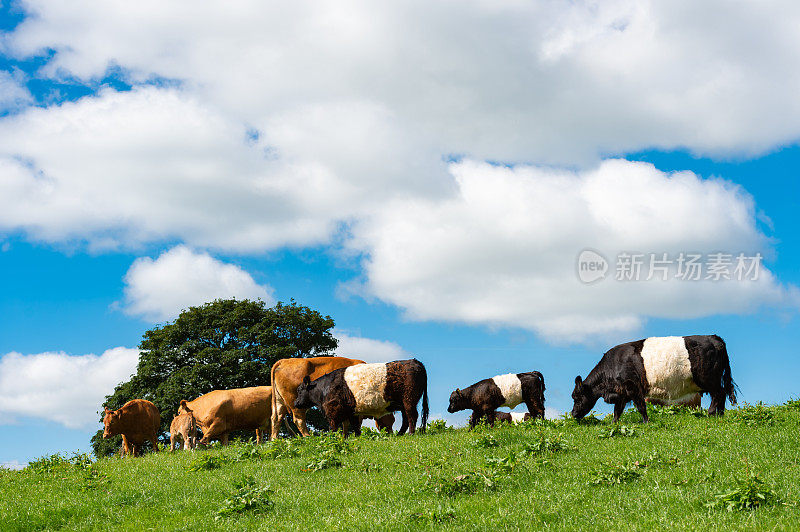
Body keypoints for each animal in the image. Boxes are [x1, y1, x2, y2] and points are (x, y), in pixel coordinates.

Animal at [296, 358, 432, 436]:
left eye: (300, 390)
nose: (295, 403)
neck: (325, 388)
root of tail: (414, 361)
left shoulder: (333, 412)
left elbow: (333, 427)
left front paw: (333, 439)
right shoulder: (351, 412)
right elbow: (355, 426)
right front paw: (357, 437)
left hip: (409, 400)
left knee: (412, 416)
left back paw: (411, 434)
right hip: (403, 403)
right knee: (405, 419)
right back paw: (400, 434)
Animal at [572, 332, 736, 424]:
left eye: (576, 397)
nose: (573, 414)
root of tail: (714, 337)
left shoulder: (633, 388)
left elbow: (641, 407)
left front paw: (646, 422)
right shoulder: (622, 393)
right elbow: (617, 411)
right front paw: (614, 424)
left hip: (709, 380)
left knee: (719, 394)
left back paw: (711, 414)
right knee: (721, 395)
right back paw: (720, 415)